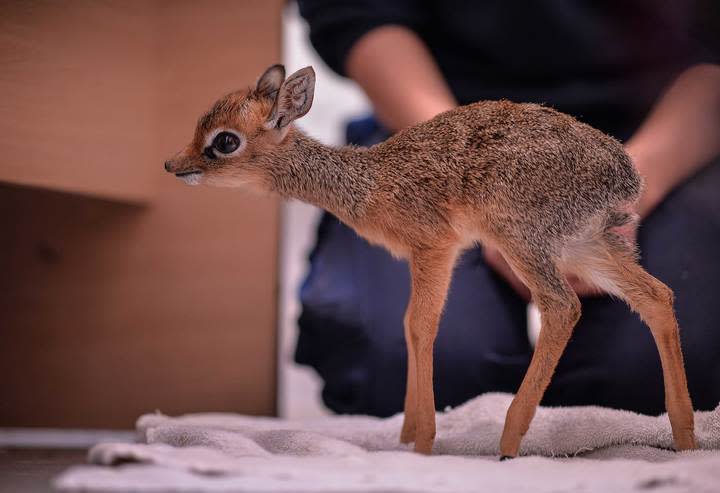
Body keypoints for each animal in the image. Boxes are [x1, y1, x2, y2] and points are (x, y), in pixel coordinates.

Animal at [166, 64, 696, 458]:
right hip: (585, 246)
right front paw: (404, 437)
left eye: (225, 140)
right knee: (656, 295)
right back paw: (685, 436)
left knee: (563, 307)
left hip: (523, 241)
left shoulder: (435, 247)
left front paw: (422, 441)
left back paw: (509, 441)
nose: (173, 164)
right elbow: (407, 326)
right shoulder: (423, 257)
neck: (369, 183)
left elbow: (421, 326)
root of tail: (624, 173)